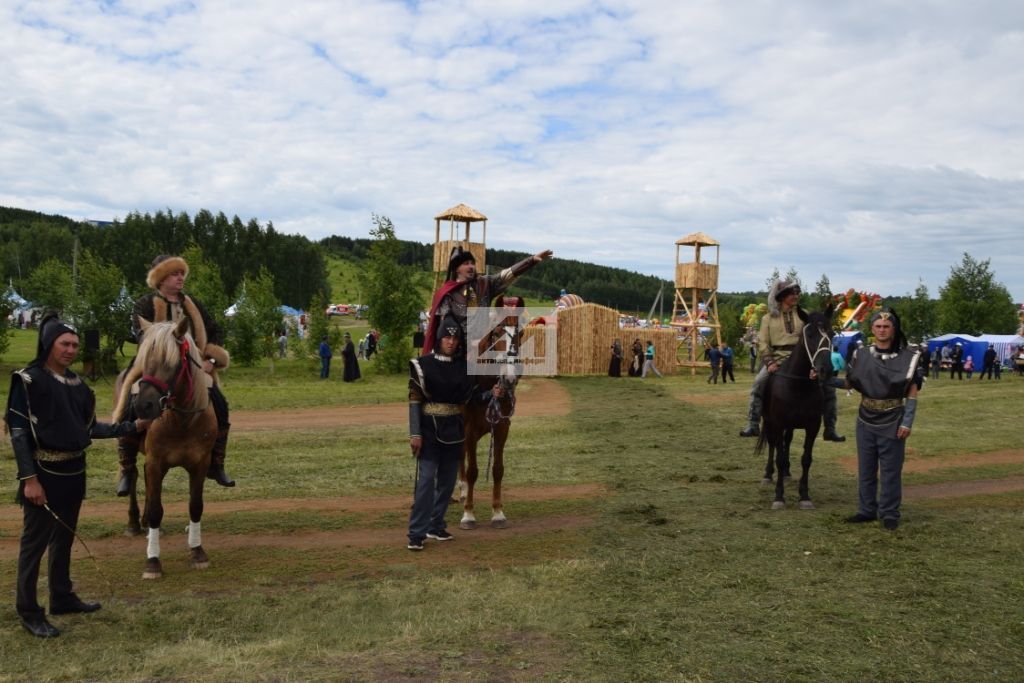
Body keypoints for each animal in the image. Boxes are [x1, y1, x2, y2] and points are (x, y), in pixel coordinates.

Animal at [112, 317, 216, 581]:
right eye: (144, 360)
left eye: (172, 363)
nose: (143, 406)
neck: (182, 420)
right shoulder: (155, 462)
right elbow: (157, 510)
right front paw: (153, 561)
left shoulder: (200, 464)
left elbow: (195, 506)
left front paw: (197, 551)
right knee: (134, 475)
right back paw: (134, 523)